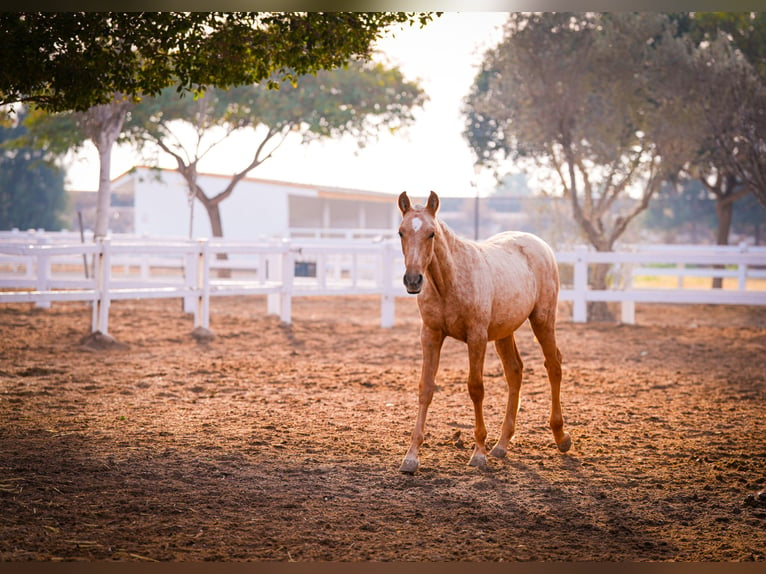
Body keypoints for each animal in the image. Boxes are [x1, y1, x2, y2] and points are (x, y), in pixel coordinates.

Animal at [400, 191, 572, 474]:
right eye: (401, 232)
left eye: (431, 233)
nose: (413, 280)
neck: (450, 281)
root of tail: (541, 245)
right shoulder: (431, 335)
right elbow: (425, 388)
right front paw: (411, 457)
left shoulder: (477, 337)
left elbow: (476, 388)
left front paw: (479, 453)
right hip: (504, 332)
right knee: (514, 372)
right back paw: (501, 445)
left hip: (543, 320)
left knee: (554, 366)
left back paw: (561, 437)